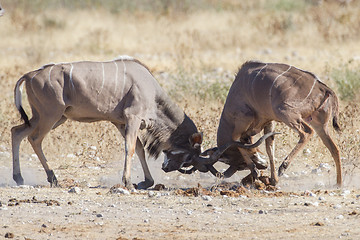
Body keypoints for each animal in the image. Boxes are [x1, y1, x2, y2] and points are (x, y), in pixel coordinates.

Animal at [11, 56, 202, 189]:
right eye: (189, 156)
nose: (166, 169)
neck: (153, 95)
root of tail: (30, 75)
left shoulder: (121, 123)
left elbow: (139, 148)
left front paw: (146, 182)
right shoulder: (132, 118)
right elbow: (130, 148)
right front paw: (128, 182)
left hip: (47, 117)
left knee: (16, 132)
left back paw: (19, 177)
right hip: (50, 115)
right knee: (35, 139)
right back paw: (53, 178)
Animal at [162, 60, 340, 188]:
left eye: (239, 164)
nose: (261, 166)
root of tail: (324, 89)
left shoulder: (241, 125)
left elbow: (241, 143)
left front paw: (258, 174)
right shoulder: (269, 124)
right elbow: (269, 147)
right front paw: (272, 180)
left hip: (287, 113)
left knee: (306, 133)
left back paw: (284, 166)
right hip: (320, 124)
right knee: (334, 148)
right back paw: (339, 183)